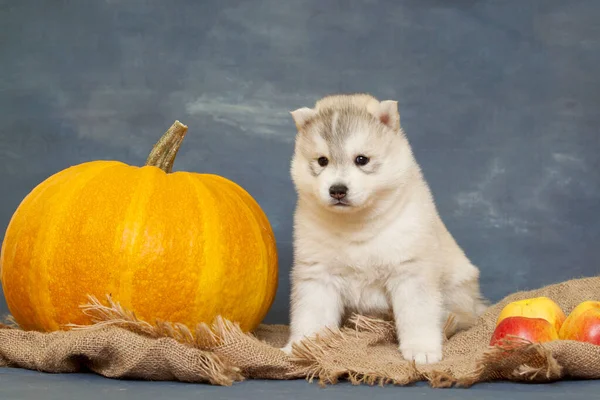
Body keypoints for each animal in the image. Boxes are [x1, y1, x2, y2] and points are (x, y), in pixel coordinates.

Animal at [282, 94, 488, 366]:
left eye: (361, 159)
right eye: (322, 161)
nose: (337, 190)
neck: (357, 224)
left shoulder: (411, 272)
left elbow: (417, 316)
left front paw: (421, 349)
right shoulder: (317, 275)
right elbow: (311, 316)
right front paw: (301, 345)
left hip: (458, 290)